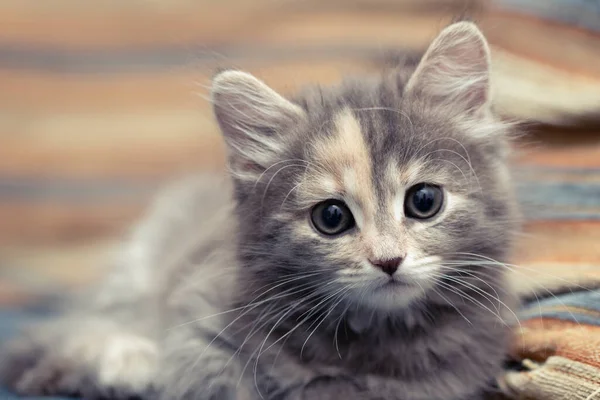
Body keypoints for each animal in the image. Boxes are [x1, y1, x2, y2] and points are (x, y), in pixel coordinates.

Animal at [0, 21, 516, 400]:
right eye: (331, 218)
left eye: (424, 201)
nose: (388, 260)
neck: (370, 341)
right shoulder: (196, 322)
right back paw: (124, 364)